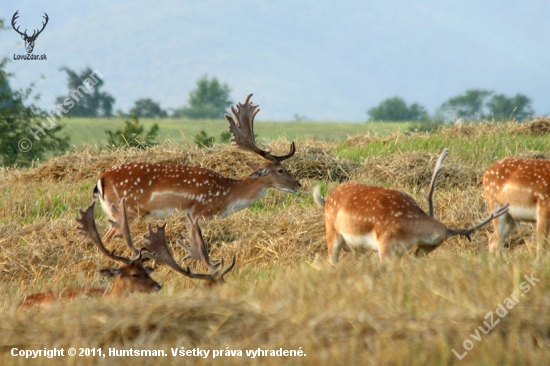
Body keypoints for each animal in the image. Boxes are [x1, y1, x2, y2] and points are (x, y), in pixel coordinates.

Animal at [95, 93, 302, 240]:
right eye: (280, 170)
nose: (298, 184)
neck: (227, 197)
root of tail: (101, 180)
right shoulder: (199, 212)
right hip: (127, 211)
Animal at [314, 149, 512, 264]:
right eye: (437, 241)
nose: (419, 257)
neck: (407, 229)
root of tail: (327, 198)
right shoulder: (385, 243)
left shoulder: (398, 251)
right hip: (333, 231)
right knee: (332, 259)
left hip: (356, 246)